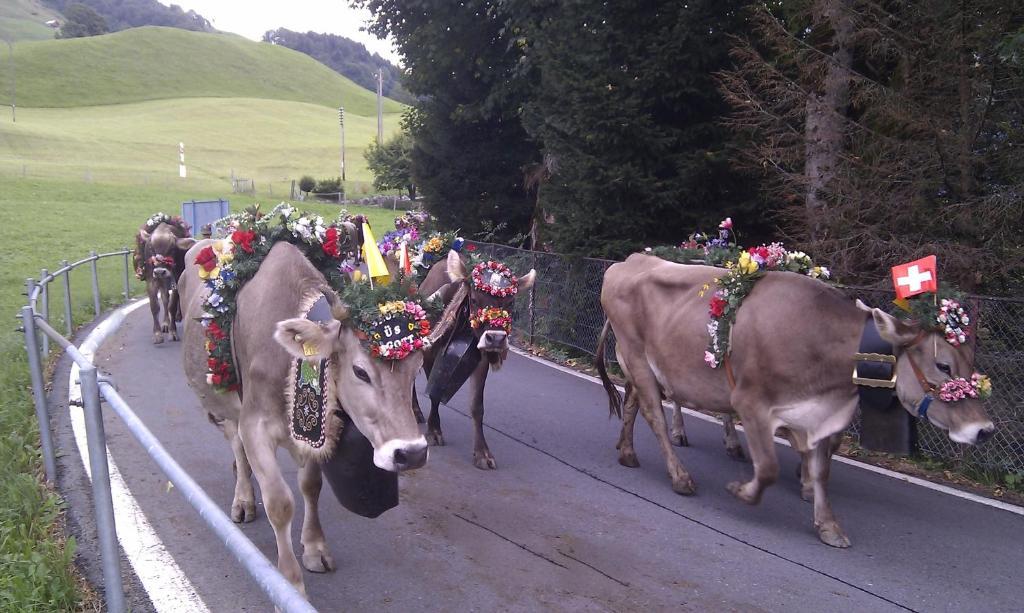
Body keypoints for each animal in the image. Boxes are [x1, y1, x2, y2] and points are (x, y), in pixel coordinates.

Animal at [134, 213, 193, 343]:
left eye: (172, 248)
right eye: (151, 248)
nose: (160, 271)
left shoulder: (176, 280)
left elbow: (172, 306)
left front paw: (173, 331)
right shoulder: (151, 280)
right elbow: (155, 306)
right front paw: (157, 334)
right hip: (161, 282)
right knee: (165, 299)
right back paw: (165, 324)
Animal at [411, 249, 536, 470]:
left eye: (510, 302)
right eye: (476, 299)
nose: (496, 338)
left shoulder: (481, 358)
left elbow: (477, 406)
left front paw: (482, 453)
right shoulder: (429, 351)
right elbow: (434, 393)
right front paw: (434, 431)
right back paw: (416, 412)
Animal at [598, 253, 995, 548]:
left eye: (970, 361)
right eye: (943, 365)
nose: (985, 430)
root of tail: (629, 261)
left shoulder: (821, 416)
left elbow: (821, 469)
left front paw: (828, 524)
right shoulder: (751, 403)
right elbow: (769, 468)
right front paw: (743, 490)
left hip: (640, 367)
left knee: (632, 404)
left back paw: (627, 452)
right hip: (636, 357)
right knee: (654, 414)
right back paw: (680, 475)